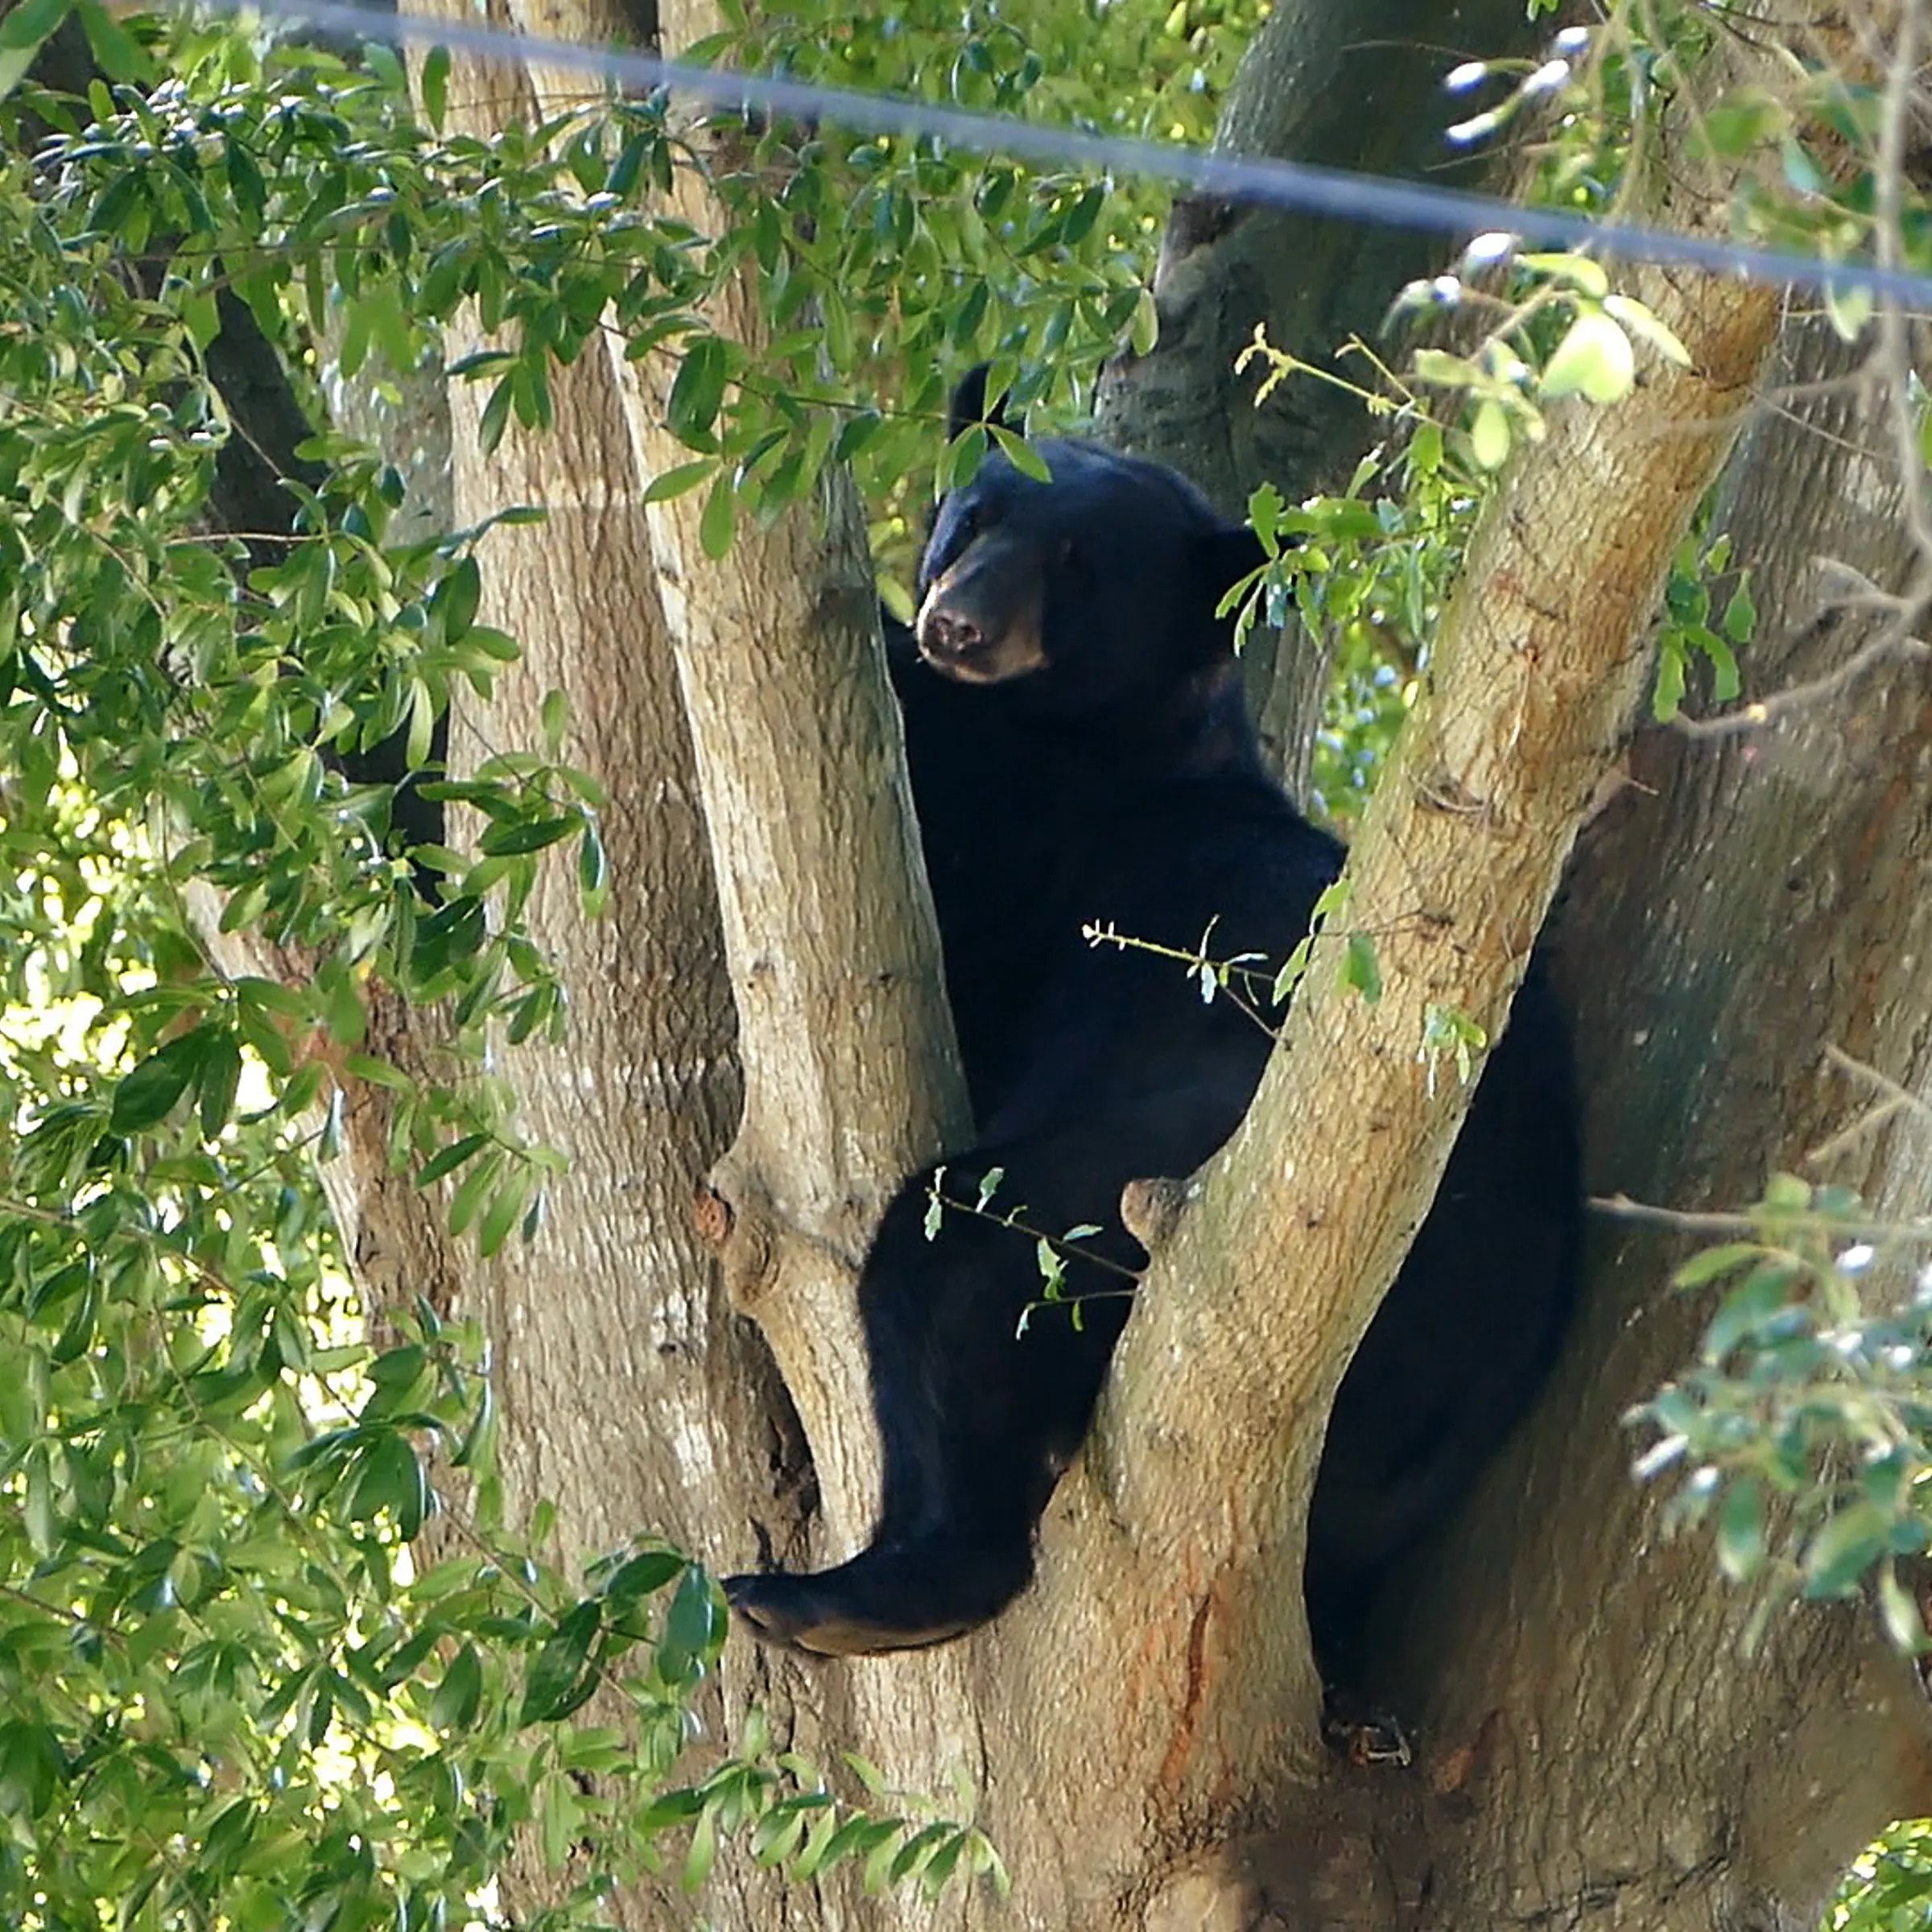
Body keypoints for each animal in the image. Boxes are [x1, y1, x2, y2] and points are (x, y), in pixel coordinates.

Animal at [724, 371, 1581, 1676]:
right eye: (973, 517)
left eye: (1080, 567)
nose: (958, 626)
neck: (1118, 736)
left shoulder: (1031, 830)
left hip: (1178, 1155)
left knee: (959, 1255)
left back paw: (855, 1589)